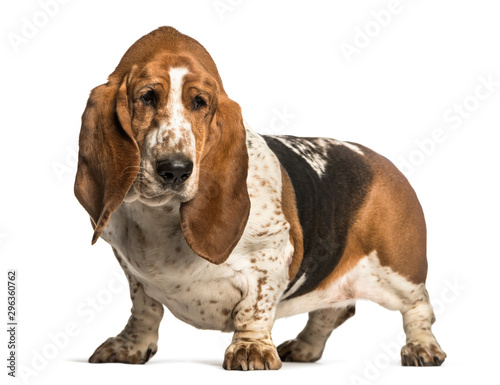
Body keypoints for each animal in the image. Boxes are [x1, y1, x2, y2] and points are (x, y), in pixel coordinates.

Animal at [73, 27, 446, 368]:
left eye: (199, 103)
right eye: (147, 97)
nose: (175, 170)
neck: (161, 216)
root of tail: (382, 162)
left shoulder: (272, 257)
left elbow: (254, 310)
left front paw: (250, 349)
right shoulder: (134, 273)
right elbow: (145, 309)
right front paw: (130, 346)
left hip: (398, 272)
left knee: (419, 308)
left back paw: (422, 348)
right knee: (332, 312)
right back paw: (304, 347)